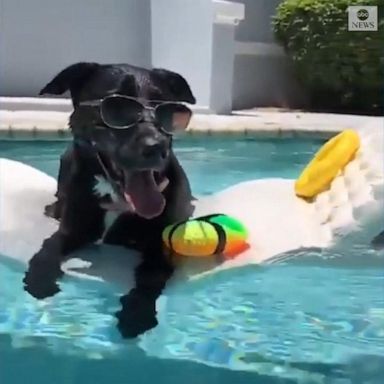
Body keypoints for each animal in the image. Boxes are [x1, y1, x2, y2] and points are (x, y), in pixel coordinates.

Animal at [23, 61, 196, 338]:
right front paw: (39, 279)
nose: (156, 146)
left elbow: (148, 281)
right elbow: (48, 249)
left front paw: (136, 313)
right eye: (117, 107)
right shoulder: (71, 230)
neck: (116, 197)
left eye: (165, 108)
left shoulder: (159, 251)